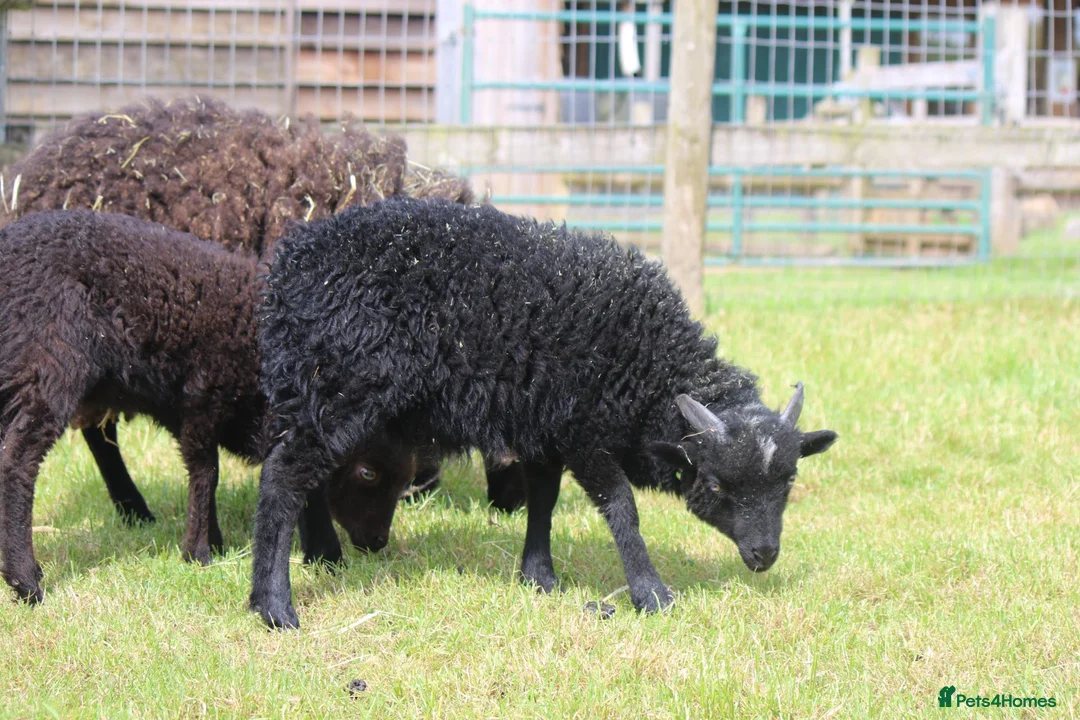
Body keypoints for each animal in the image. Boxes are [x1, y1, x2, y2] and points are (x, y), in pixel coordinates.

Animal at [248, 197, 838, 629]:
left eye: (788, 482)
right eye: (716, 485)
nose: (764, 555)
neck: (646, 363)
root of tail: (290, 263)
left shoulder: (545, 427)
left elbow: (544, 501)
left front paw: (539, 577)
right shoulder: (584, 434)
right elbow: (622, 508)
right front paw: (651, 593)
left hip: (315, 396)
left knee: (306, 476)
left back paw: (322, 557)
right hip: (339, 388)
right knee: (283, 477)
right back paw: (274, 606)